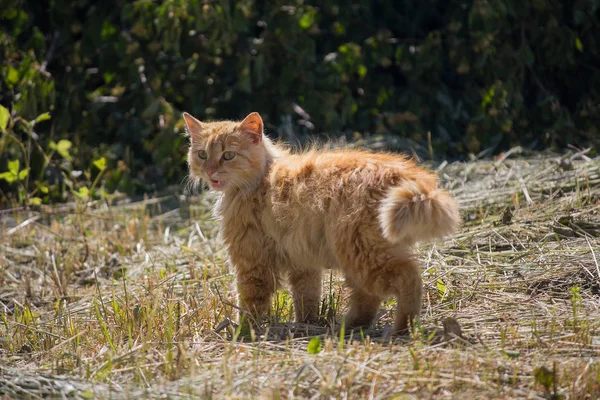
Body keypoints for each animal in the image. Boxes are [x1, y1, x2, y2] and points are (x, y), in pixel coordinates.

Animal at [183, 111, 460, 332]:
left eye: (228, 155)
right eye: (202, 154)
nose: (210, 170)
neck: (262, 177)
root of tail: (401, 173)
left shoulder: (252, 261)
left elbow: (251, 303)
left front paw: (244, 331)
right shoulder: (302, 262)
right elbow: (307, 298)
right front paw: (306, 324)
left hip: (363, 252)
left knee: (408, 277)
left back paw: (402, 327)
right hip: (359, 256)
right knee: (368, 297)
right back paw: (350, 327)